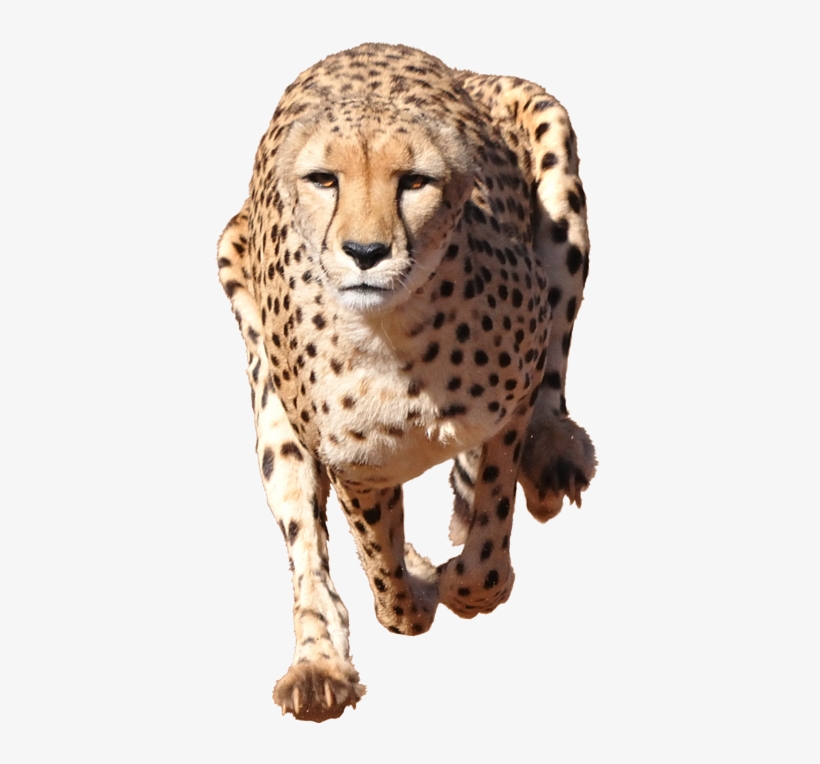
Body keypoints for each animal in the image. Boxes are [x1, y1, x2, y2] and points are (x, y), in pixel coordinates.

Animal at [217, 42, 596, 722]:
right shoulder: (354, 465)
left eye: (415, 181)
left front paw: (461, 581)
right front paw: (415, 587)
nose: (366, 252)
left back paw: (555, 454)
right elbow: (383, 574)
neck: (395, 338)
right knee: (305, 544)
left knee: (558, 351)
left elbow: (487, 545)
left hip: (556, 165)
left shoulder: (512, 394)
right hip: (264, 386)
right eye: (325, 179)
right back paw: (318, 664)